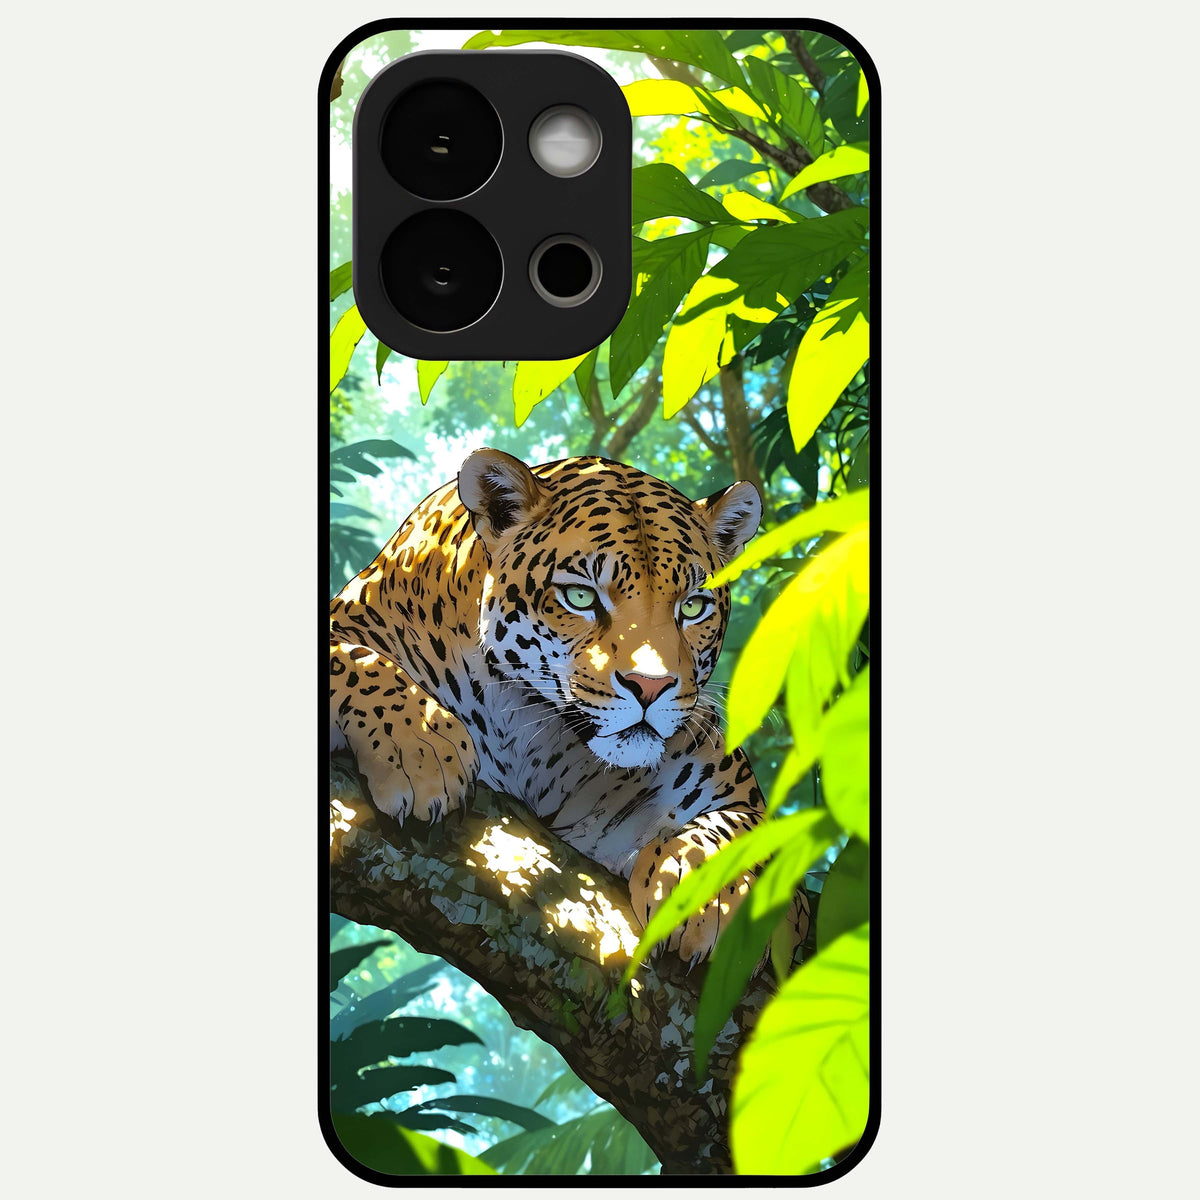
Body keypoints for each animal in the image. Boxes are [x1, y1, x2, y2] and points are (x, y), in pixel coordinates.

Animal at [329, 448, 809, 965]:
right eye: (580, 597)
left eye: (693, 607)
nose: (651, 686)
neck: (530, 735)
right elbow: (351, 658)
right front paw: (421, 747)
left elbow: (749, 829)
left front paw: (707, 892)